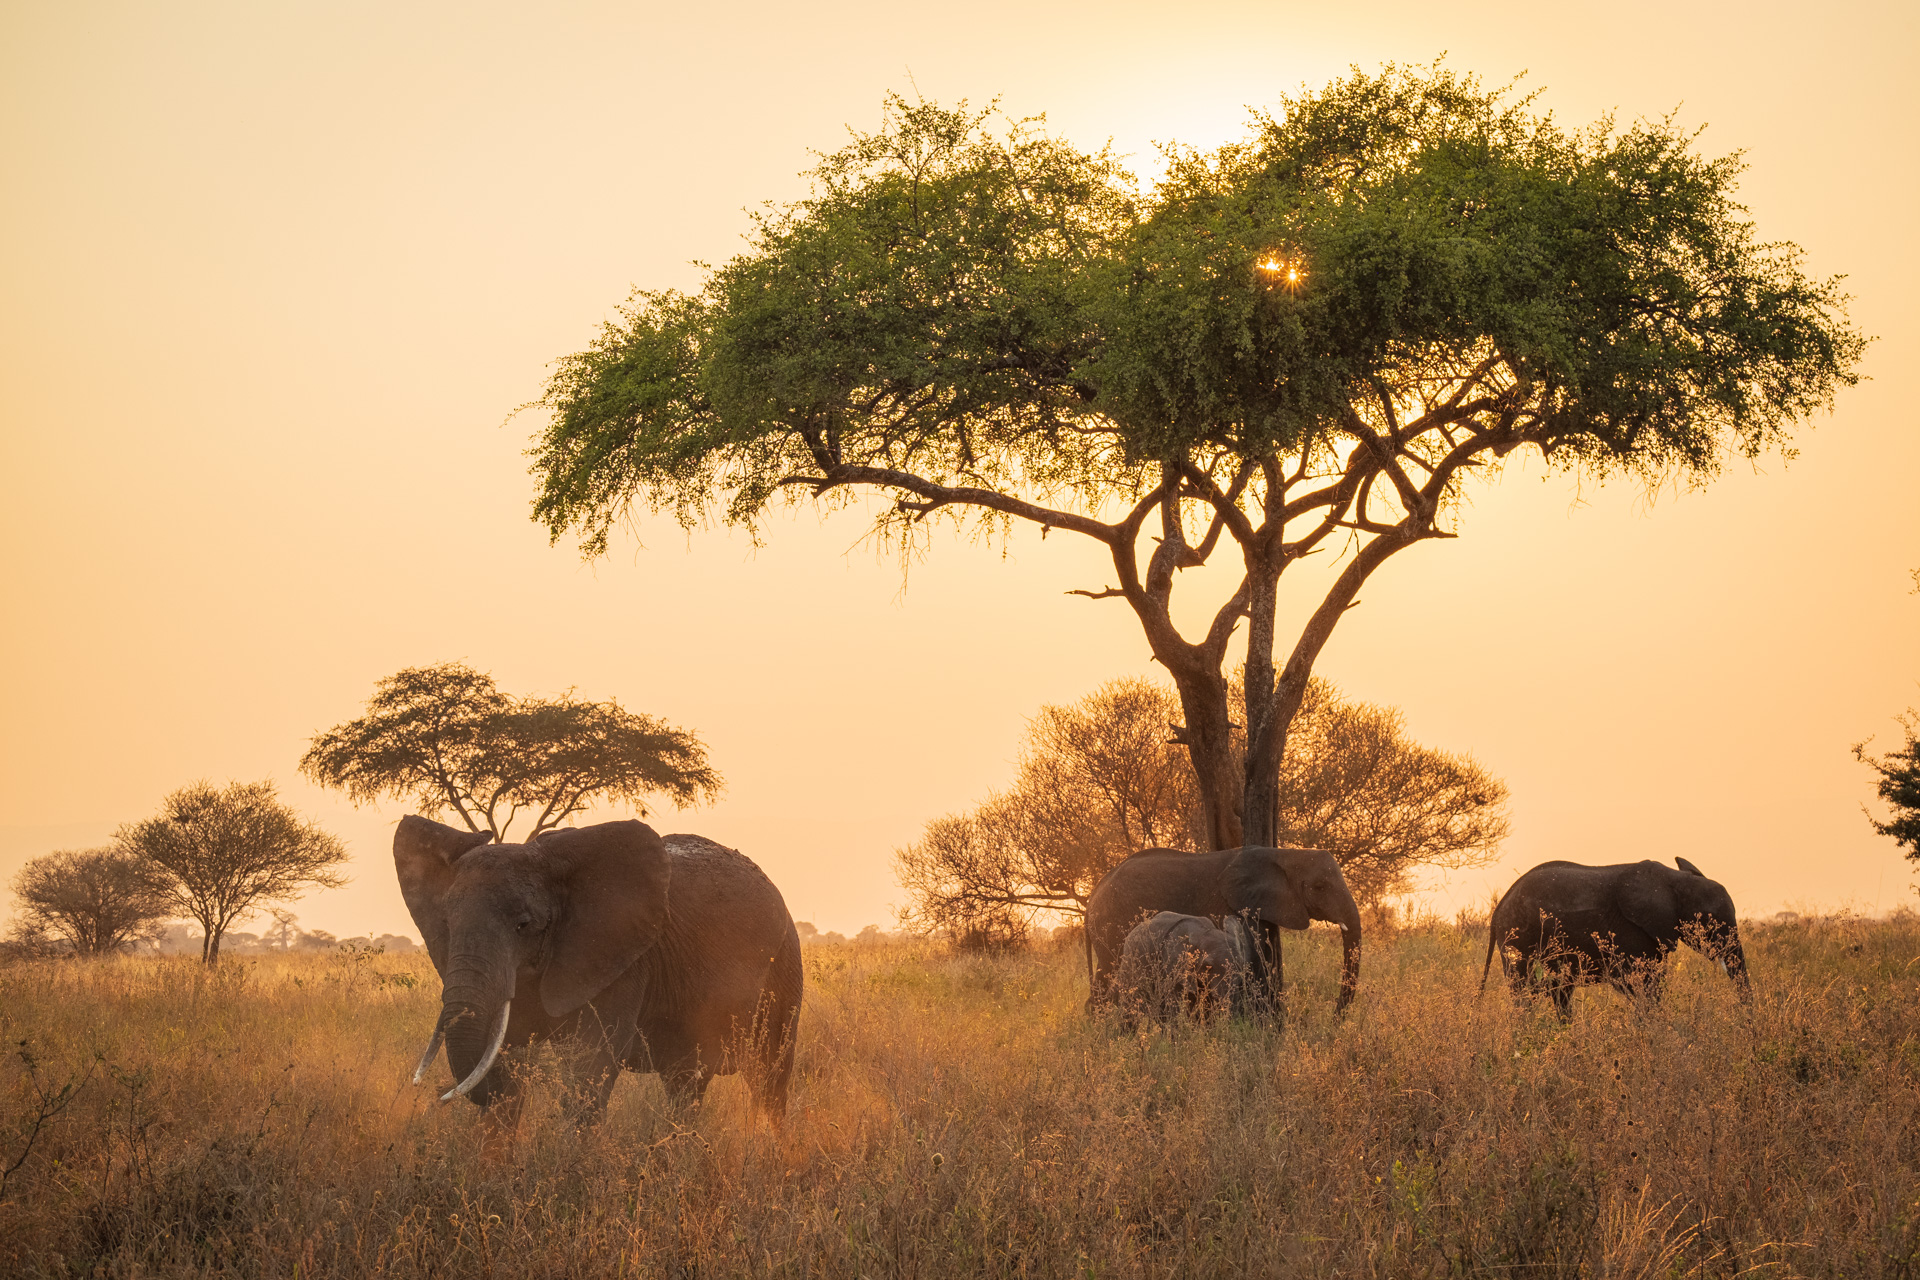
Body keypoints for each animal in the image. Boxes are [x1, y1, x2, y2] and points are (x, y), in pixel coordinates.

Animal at [397, 817, 802, 1128]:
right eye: (447, 924)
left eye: (524, 925)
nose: (438, 1095)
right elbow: (507, 1065)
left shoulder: (624, 957)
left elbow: (589, 1067)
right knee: (686, 1083)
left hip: (785, 964)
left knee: (769, 1079)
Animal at [1482, 855, 1758, 1028]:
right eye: (1711, 922)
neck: (1675, 880)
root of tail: (1499, 908)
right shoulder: (1630, 930)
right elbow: (1639, 984)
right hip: (1519, 938)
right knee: (1523, 992)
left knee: (1559, 992)